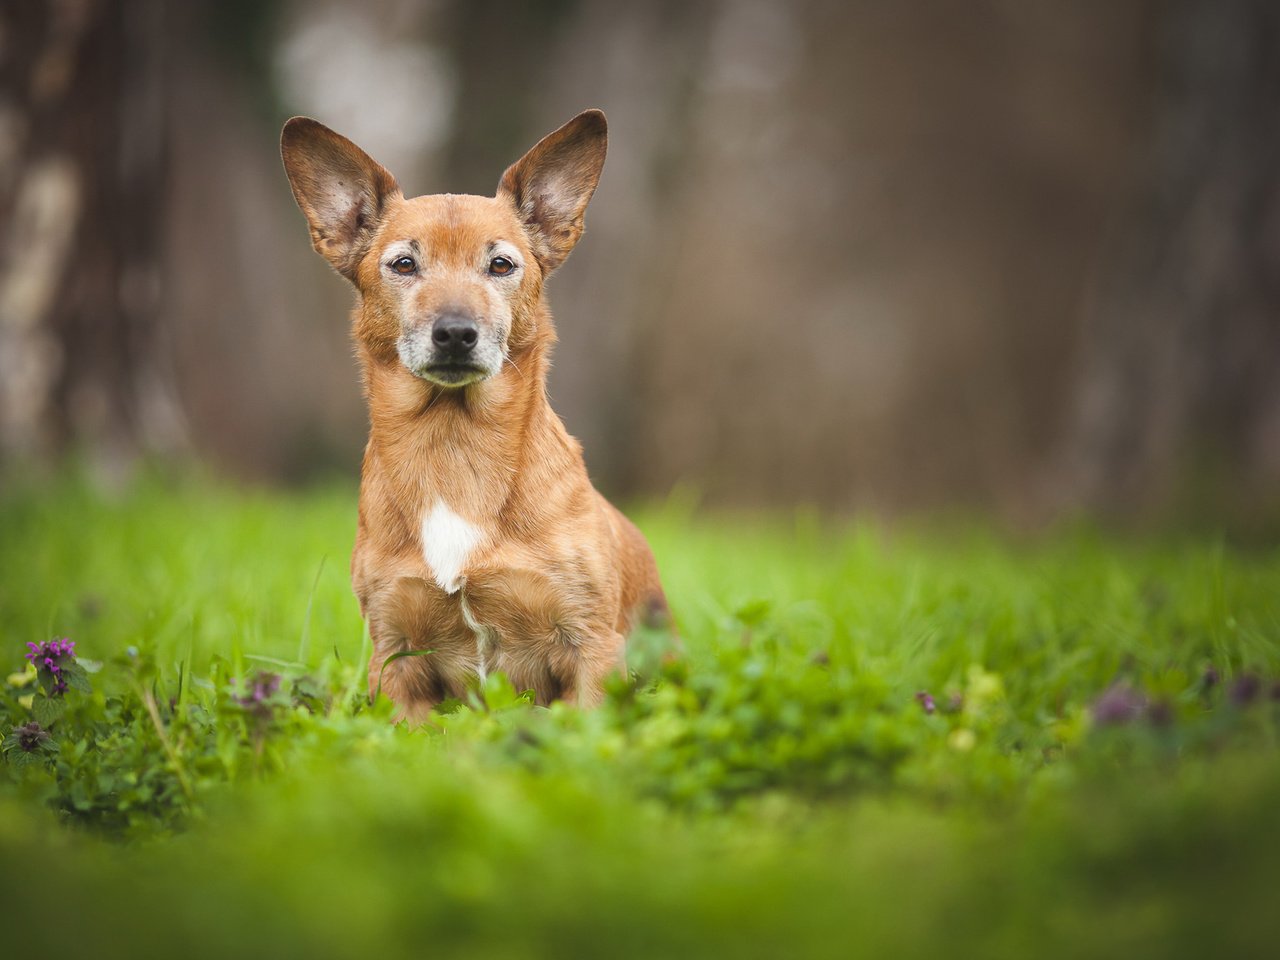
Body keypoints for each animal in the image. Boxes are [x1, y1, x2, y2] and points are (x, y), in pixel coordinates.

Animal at [281, 108, 670, 716]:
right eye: (404, 263)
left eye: (501, 264)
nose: (456, 332)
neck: (454, 444)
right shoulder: (395, 657)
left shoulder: (591, 645)